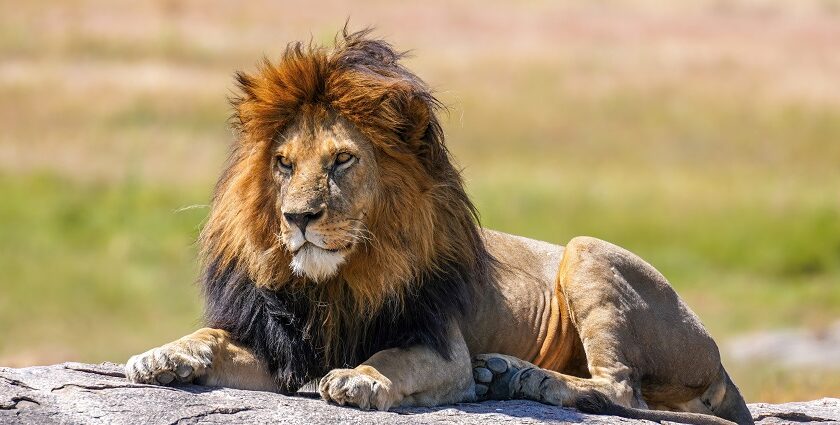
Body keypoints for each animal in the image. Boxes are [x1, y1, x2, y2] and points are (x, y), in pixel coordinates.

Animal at [124, 29, 756, 424]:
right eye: (283, 164)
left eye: (342, 160)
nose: (297, 218)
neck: (338, 282)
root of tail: (720, 360)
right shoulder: (282, 349)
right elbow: (210, 337)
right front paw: (162, 357)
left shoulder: (441, 347)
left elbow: (391, 360)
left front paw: (358, 379)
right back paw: (507, 374)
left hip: (587, 252)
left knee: (623, 391)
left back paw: (524, 380)